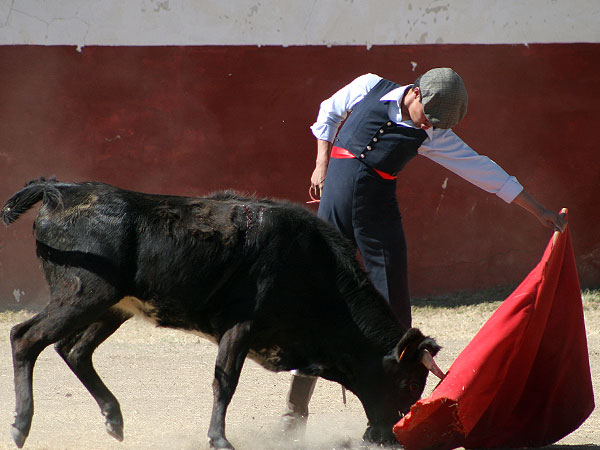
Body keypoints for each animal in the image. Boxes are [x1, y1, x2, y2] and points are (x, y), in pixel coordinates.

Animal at [0, 179, 442, 450]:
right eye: (407, 383)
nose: (389, 437)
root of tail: (61, 190)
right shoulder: (241, 326)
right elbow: (225, 381)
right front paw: (219, 439)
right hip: (83, 295)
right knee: (26, 337)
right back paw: (21, 426)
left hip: (113, 307)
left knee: (74, 351)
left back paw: (114, 420)